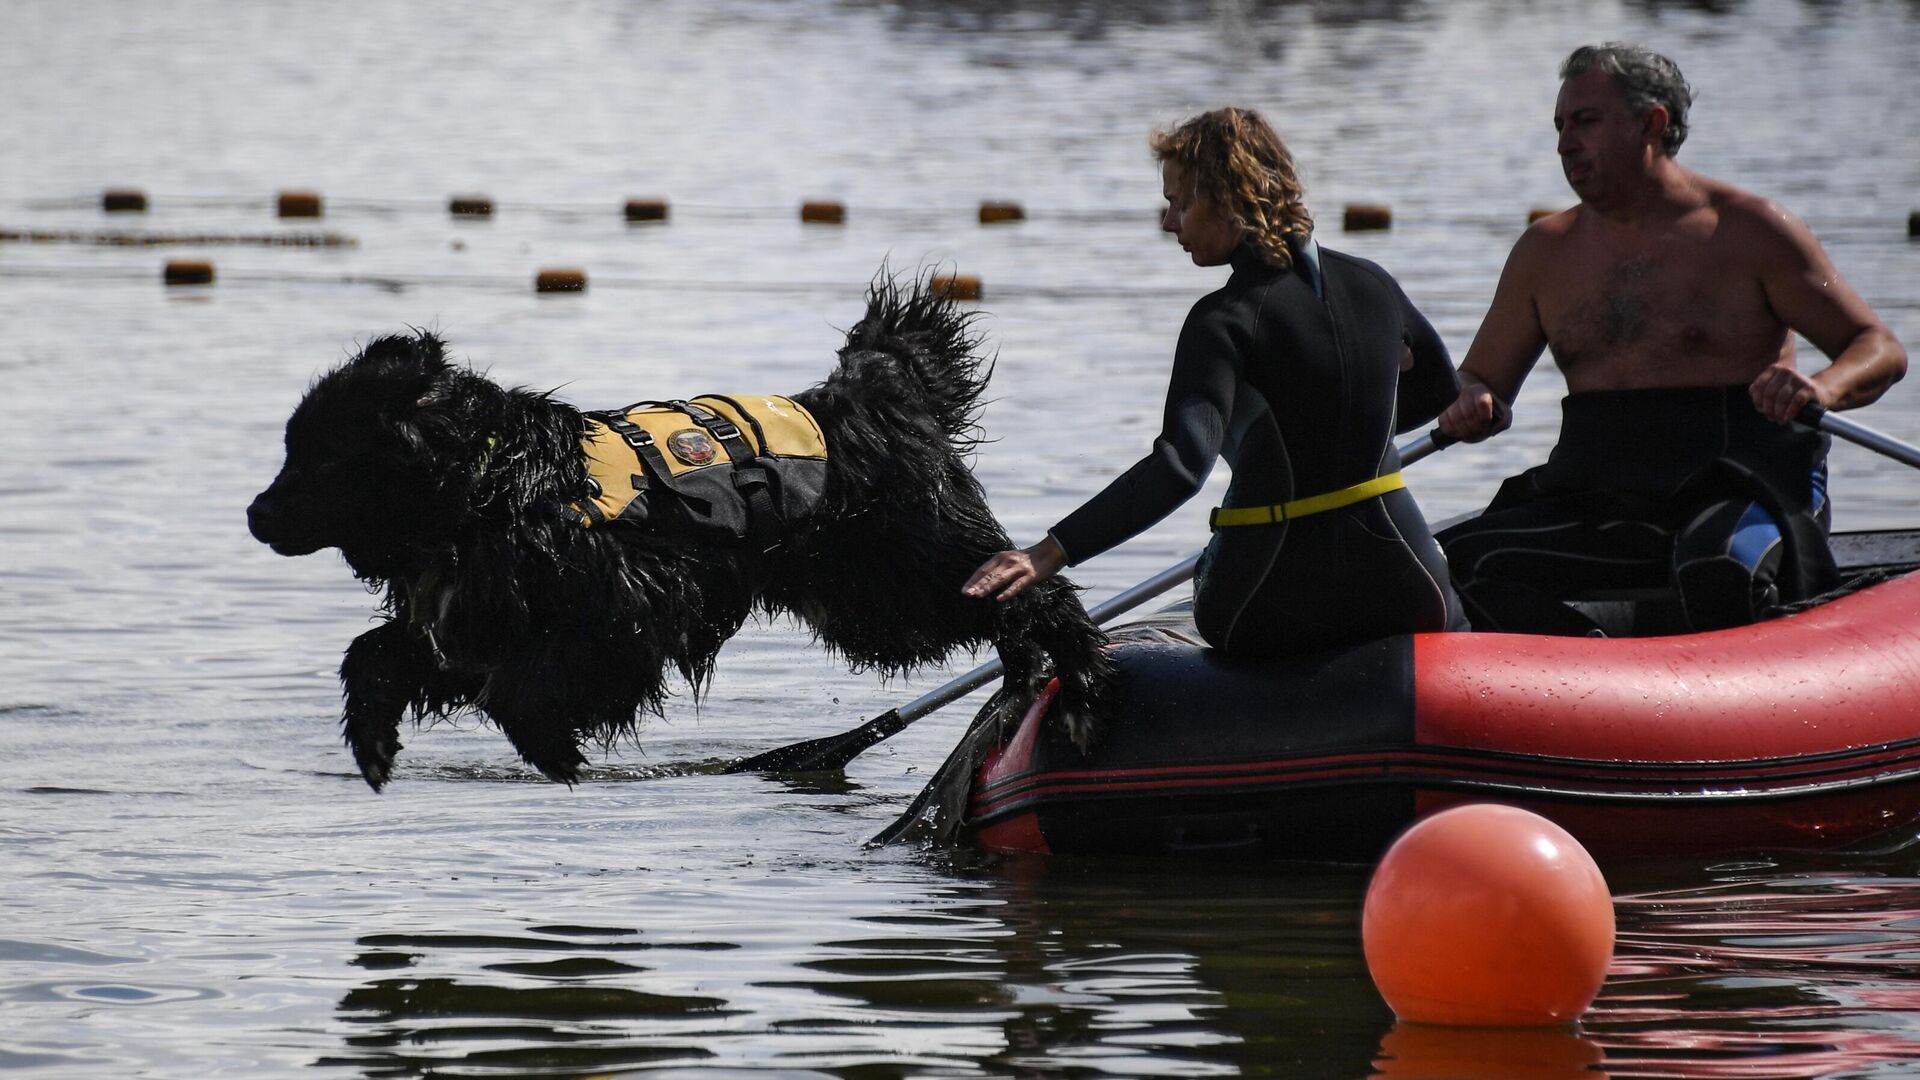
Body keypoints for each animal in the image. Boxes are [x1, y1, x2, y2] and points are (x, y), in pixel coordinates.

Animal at [245, 276, 1113, 780]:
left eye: (320, 457)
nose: (254, 515)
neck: (489, 487)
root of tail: (872, 388)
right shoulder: (478, 614)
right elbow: (383, 653)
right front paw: (372, 741)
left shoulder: (636, 606)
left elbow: (522, 686)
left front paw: (554, 751)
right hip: (869, 597)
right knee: (1001, 600)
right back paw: (1023, 675)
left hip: (895, 576)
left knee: (1035, 588)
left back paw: (1072, 681)